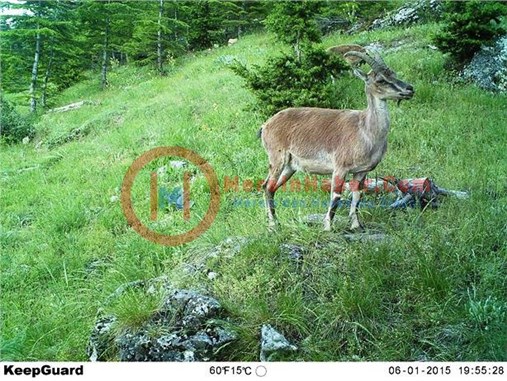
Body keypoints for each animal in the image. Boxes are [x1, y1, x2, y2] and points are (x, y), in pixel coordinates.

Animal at [260, 43, 414, 229]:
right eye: (381, 80)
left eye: (394, 74)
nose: (409, 89)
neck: (366, 131)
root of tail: (266, 125)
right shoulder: (340, 168)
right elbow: (335, 197)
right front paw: (328, 228)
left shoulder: (361, 171)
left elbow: (357, 197)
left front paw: (356, 226)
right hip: (277, 158)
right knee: (268, 186)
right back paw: (273, 225)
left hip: (290, 166)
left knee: (270, 187)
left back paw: (274, 223)